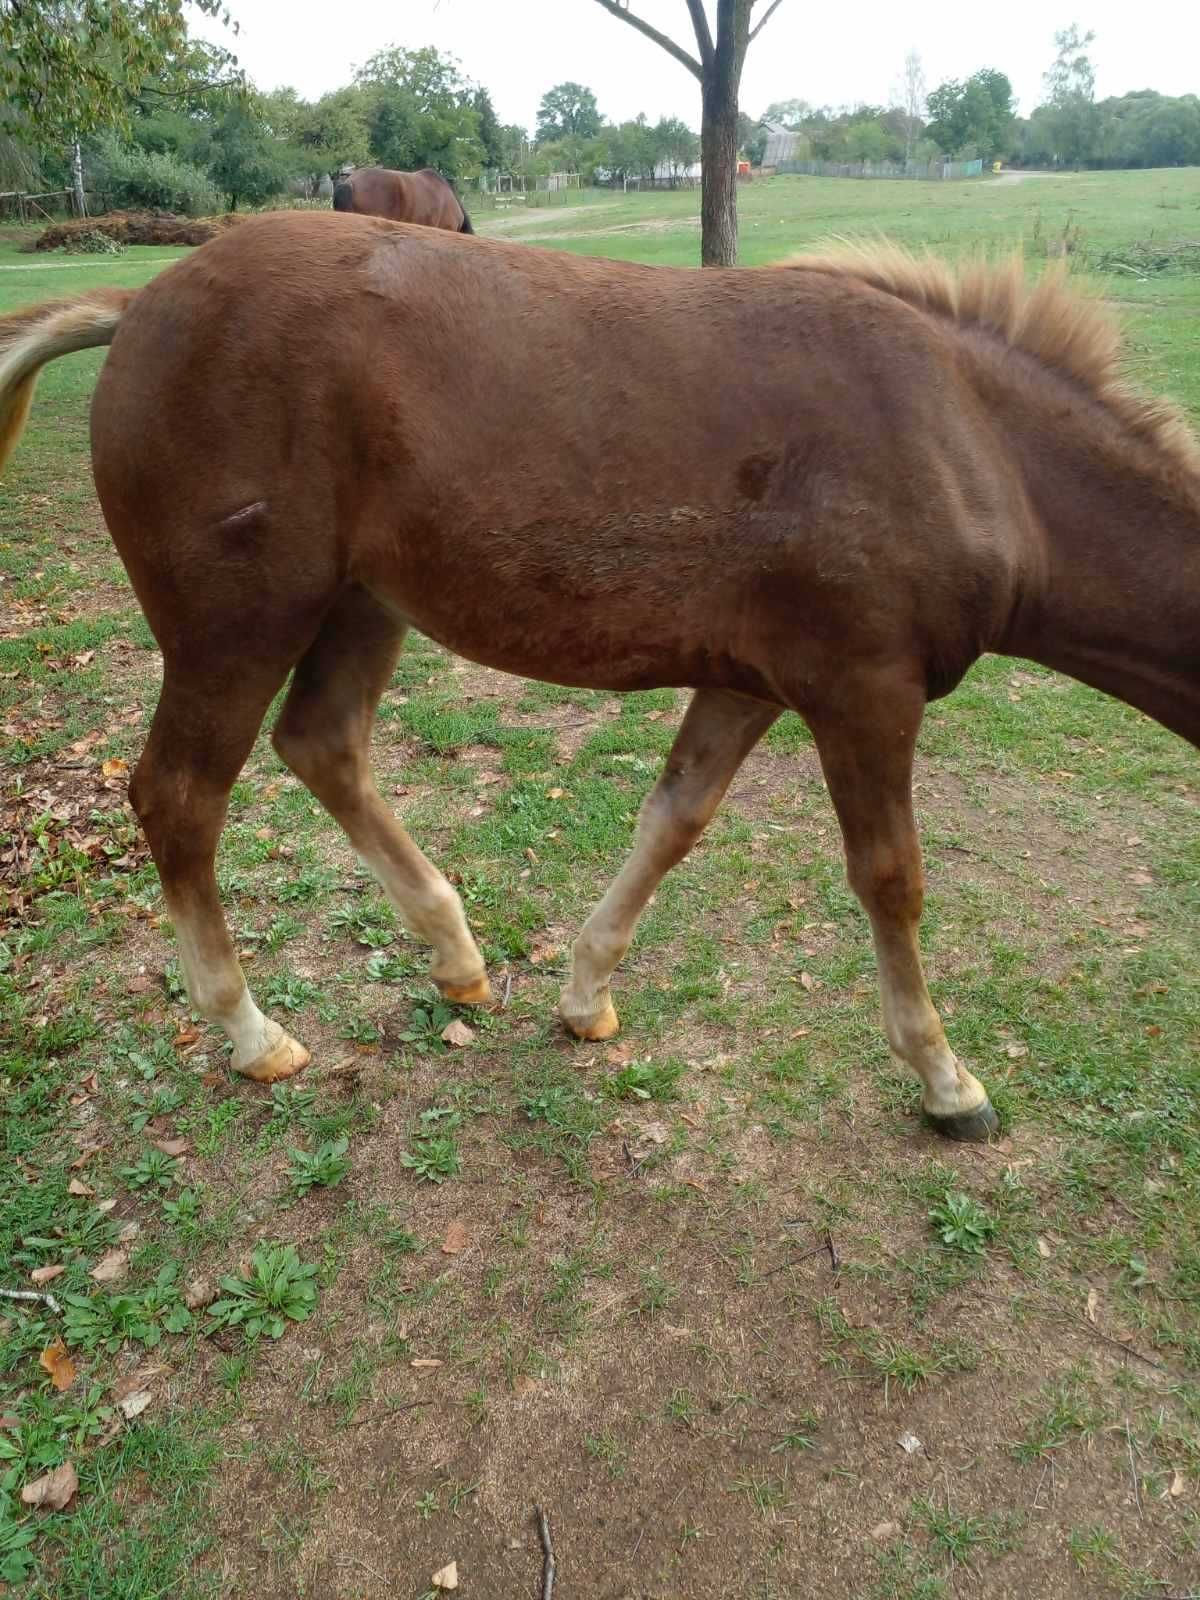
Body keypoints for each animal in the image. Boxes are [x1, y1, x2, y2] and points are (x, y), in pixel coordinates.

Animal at [2, 216, 1200, 1139]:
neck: (968, 441)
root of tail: (142, 302)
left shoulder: (754, 681)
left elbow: (672, 819)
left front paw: (585, 998)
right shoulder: (865, 692)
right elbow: (891, 881)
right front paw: (949, 1084)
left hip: (360, 605)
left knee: (323, 744)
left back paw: (458, 957)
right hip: (235, 632)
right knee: (179, 799)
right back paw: (254, 1035)